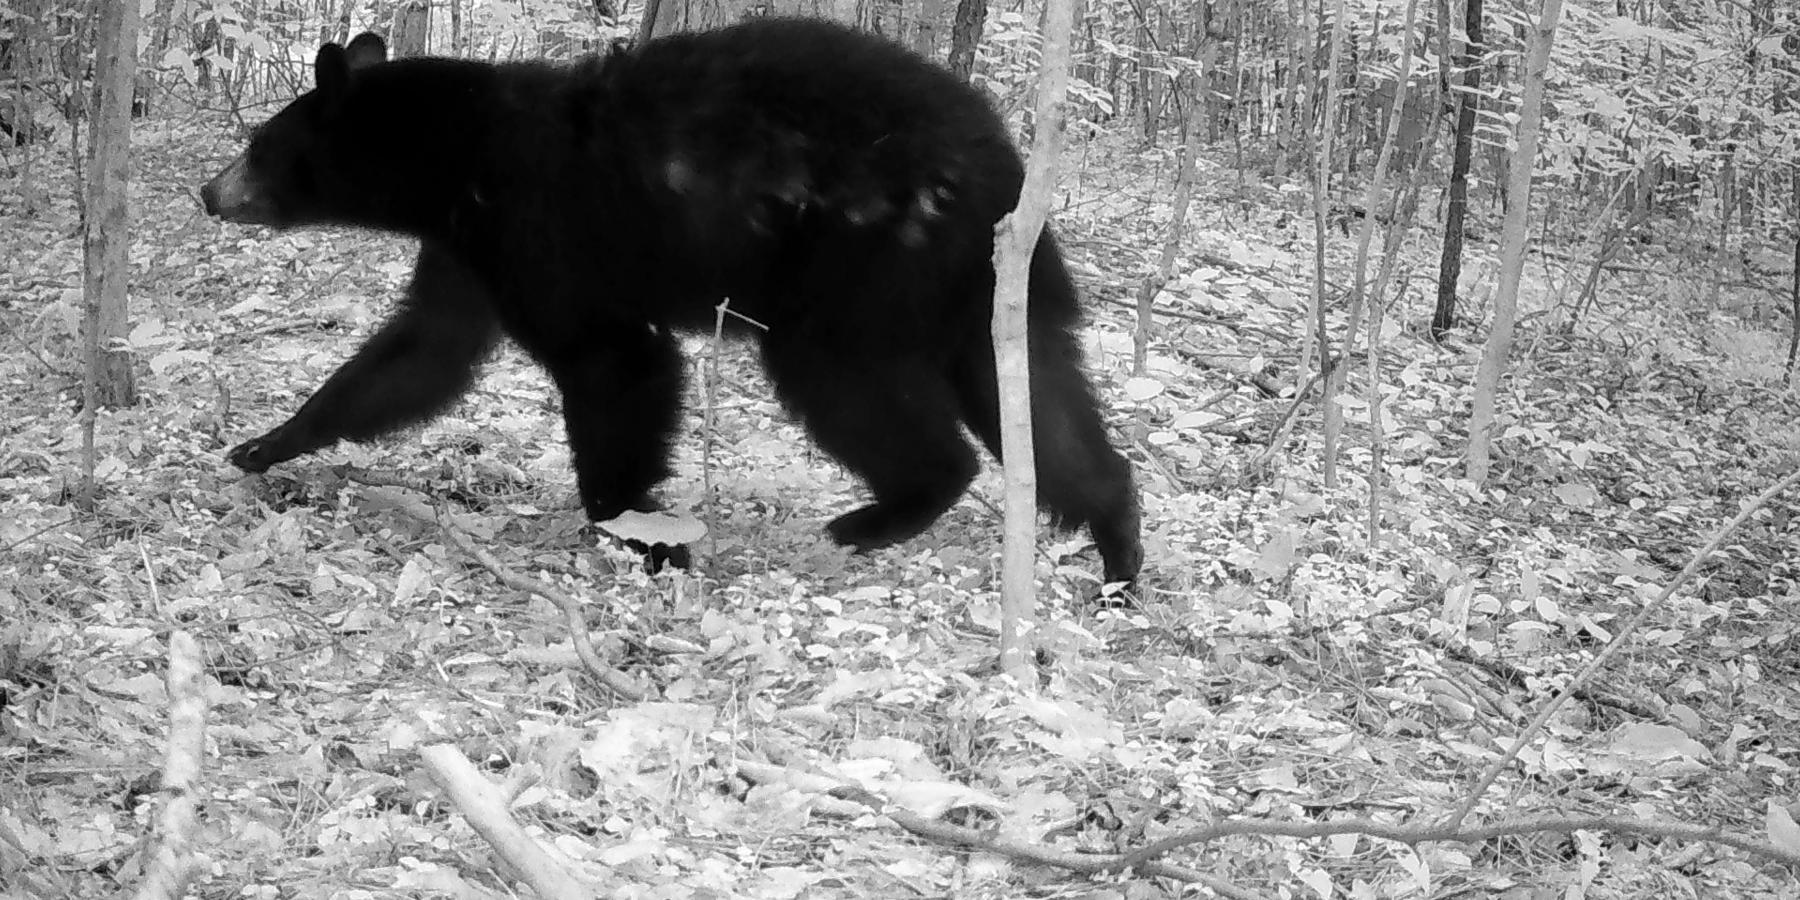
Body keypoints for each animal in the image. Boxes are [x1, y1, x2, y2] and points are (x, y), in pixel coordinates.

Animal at [199, 18, 1142, 590]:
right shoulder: (470, 248)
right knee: (1037, 397)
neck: (456, 156)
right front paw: (266, 443)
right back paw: (1117, 546)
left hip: (867, 260)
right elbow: (420, 351)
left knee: (847, 383)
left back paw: (880, 514)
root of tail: (1001, 170)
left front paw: (639, 530)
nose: (208, 192)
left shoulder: (538, 228)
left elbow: (615, 362)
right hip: (979, 286)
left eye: (258, 142)